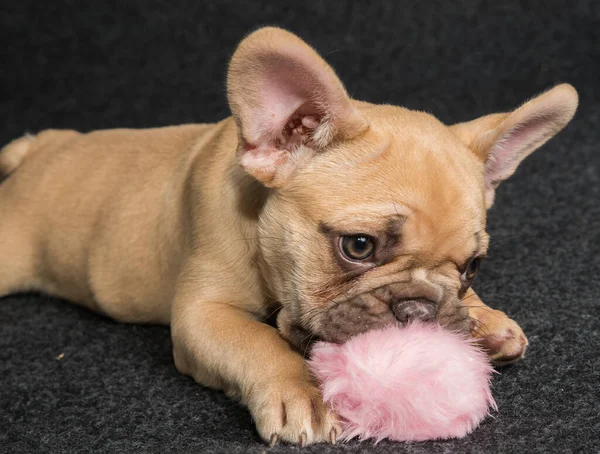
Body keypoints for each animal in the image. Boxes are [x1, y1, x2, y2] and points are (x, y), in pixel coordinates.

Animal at [1, 26, 580, 446]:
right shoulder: (202, 316)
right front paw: (304, 393)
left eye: (472, 268)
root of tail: (39, 147)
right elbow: (256, 341)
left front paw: (486, 319)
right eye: (358, 246)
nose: (418, 309)